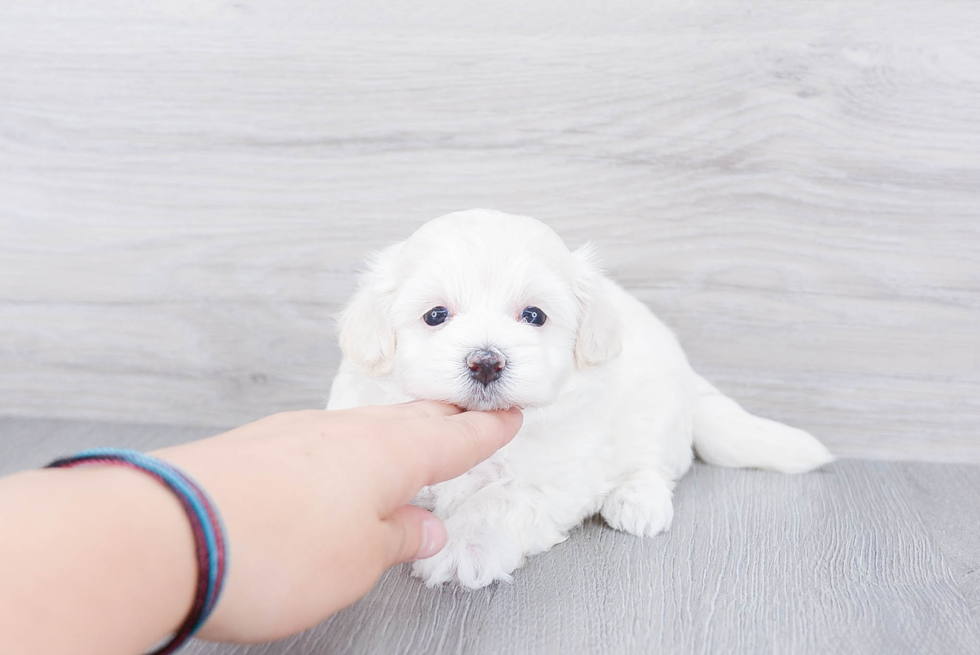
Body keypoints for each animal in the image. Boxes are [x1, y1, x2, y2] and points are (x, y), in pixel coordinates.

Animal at [328, 209, 828, 588]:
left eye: (534, 316)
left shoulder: (557, 477)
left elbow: (500, 499)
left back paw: (638, 503)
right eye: (435, 315)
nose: (486, 362)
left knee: (655, 465)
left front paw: (463, 546)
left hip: (655, 416)